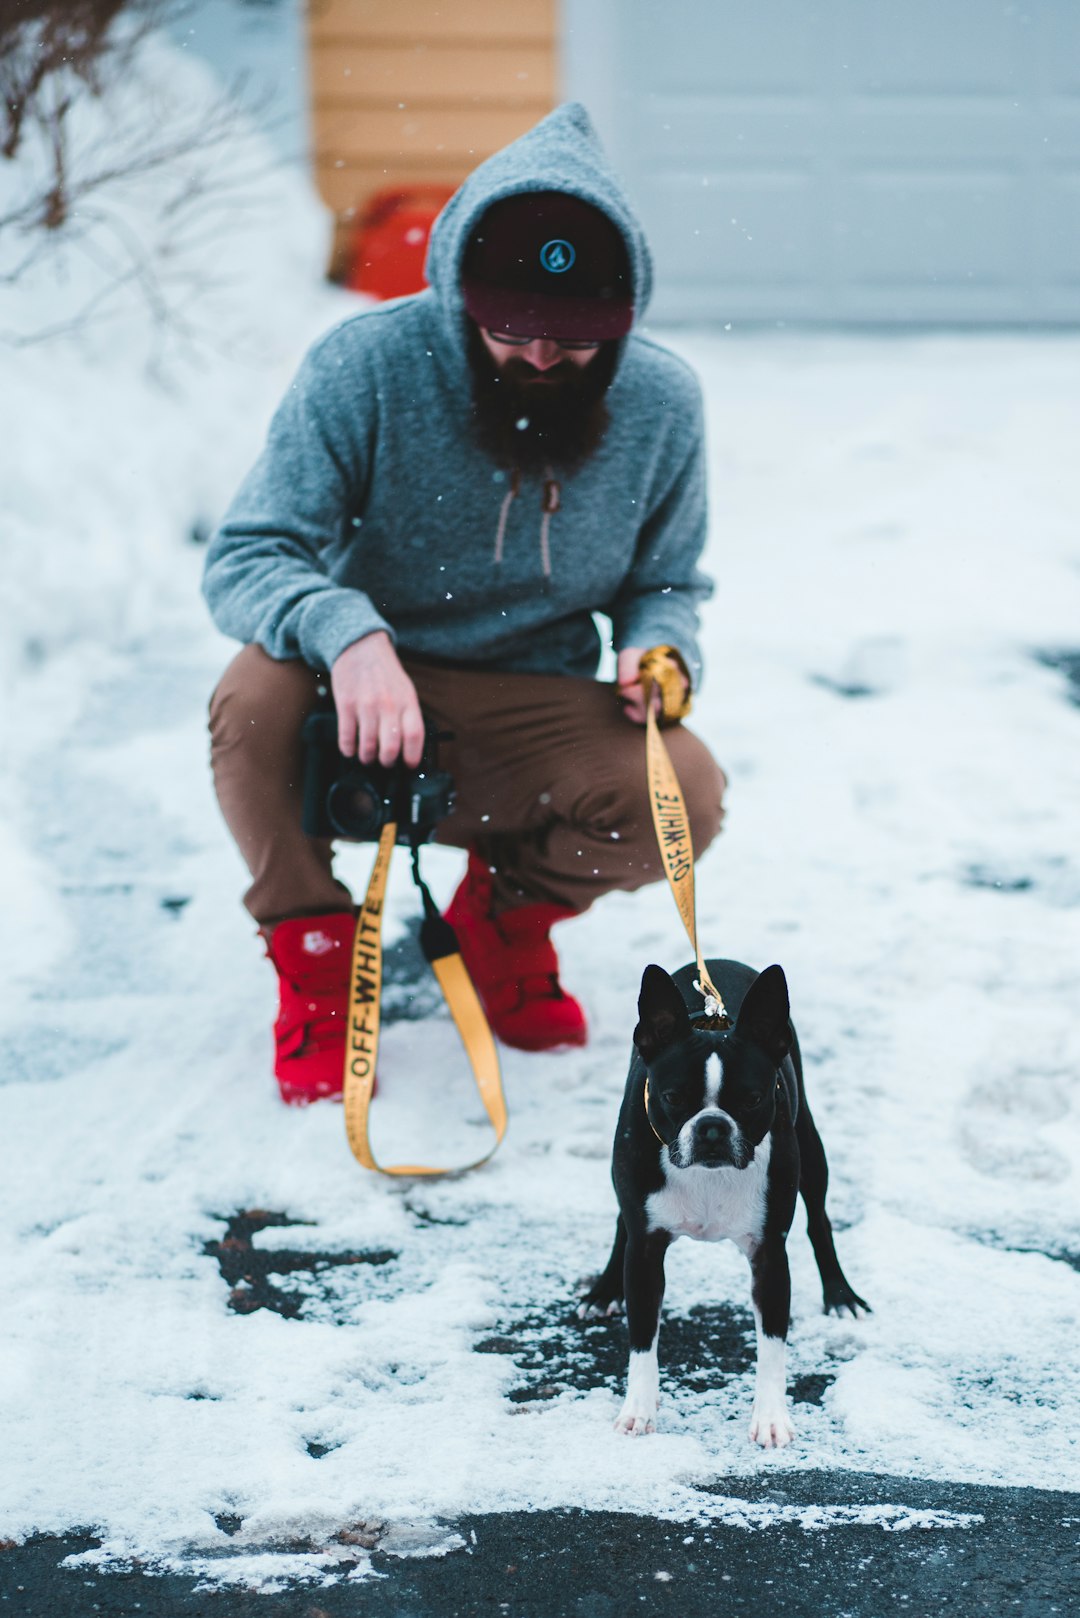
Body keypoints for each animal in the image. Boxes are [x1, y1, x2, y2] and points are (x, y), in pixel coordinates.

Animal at [582, 957, 867, 1443]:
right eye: (672, 1097)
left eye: (752, 1099)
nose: (712, 1127)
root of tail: (719, 962)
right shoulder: (645, 1252)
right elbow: (642, 1339)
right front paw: (638, 1409)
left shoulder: (770, 1255)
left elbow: (772, 1344)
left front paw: (771, 1419)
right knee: (622, 1224)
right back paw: (603, 1291)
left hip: (811, 1148)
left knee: (820, 1221)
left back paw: (841, 1295)